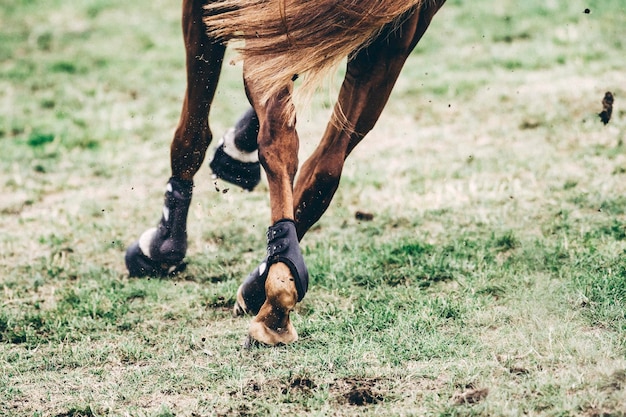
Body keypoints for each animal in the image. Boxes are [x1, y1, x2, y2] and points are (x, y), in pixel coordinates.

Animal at [123, 0, 444, 344]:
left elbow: (192, 130)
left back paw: (276, 302)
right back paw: (266, 284)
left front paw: (162, 244)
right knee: (324, 168)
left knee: (279, 139)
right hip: (393, 44)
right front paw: (237, 150)